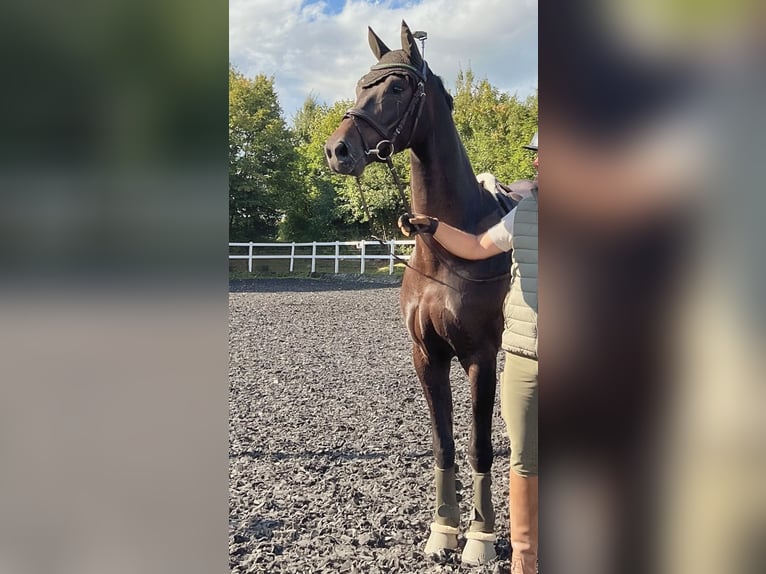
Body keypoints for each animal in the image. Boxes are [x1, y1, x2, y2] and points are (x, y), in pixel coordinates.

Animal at [324, 21, 513, 564]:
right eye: (360, 84)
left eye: (397, 87)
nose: (337, 150)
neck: (443, 251)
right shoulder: (426, 355)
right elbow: (443, 444)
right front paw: (443, 532)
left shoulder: (480, 356)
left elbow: (477, 445)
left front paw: (481, 539)